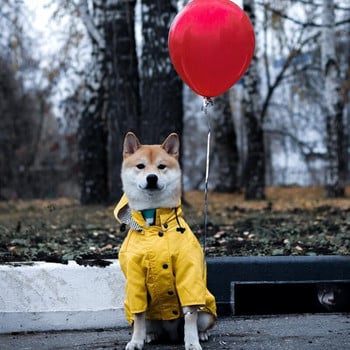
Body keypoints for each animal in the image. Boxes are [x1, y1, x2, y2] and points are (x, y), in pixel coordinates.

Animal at [114, 133, 216, 348]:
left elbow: (191, 315)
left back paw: (201, 334)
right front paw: (136, 341)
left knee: (198, 320)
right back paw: (149, 335)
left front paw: (192, 343)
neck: (154, 222)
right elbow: (139, 315)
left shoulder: (189, 272)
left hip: (206, 312)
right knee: (145, 324)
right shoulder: (135, 277)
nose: (152, 177)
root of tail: (170, 334)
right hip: (151, 317)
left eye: (161, 166)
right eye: (141, 166)